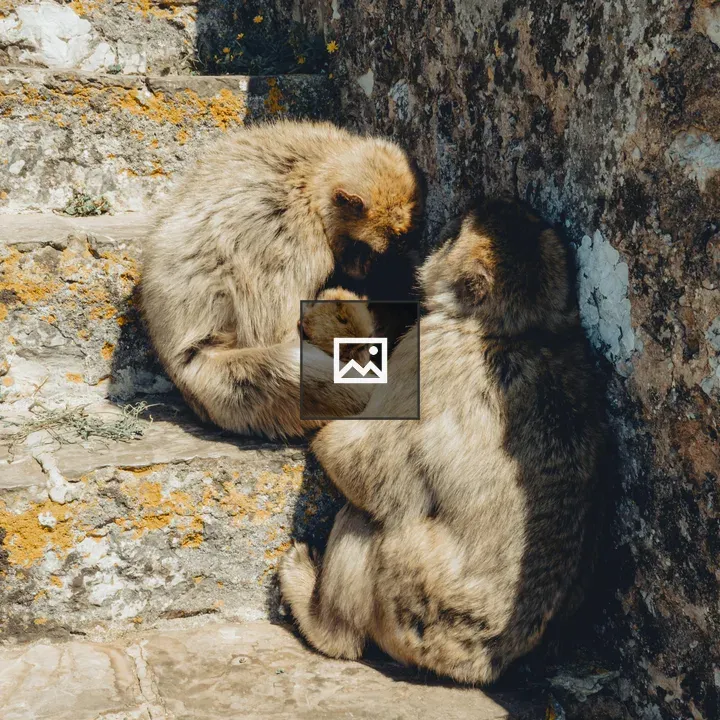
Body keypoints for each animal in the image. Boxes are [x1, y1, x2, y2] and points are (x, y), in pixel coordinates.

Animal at [141, 120, 424, 438]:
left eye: (397, 244)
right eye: (367, 249)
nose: (364, 269)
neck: (311, 178)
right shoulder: (291, 238)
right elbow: (275, 332)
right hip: (224, 390)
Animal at [280, 199, 607, 684]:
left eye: (452, 235)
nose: (441, 231)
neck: (517, 328)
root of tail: (477, 664)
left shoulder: (423, 352)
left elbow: (361, 464)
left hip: (407, 600)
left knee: (375, 514)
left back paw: (323, 625)